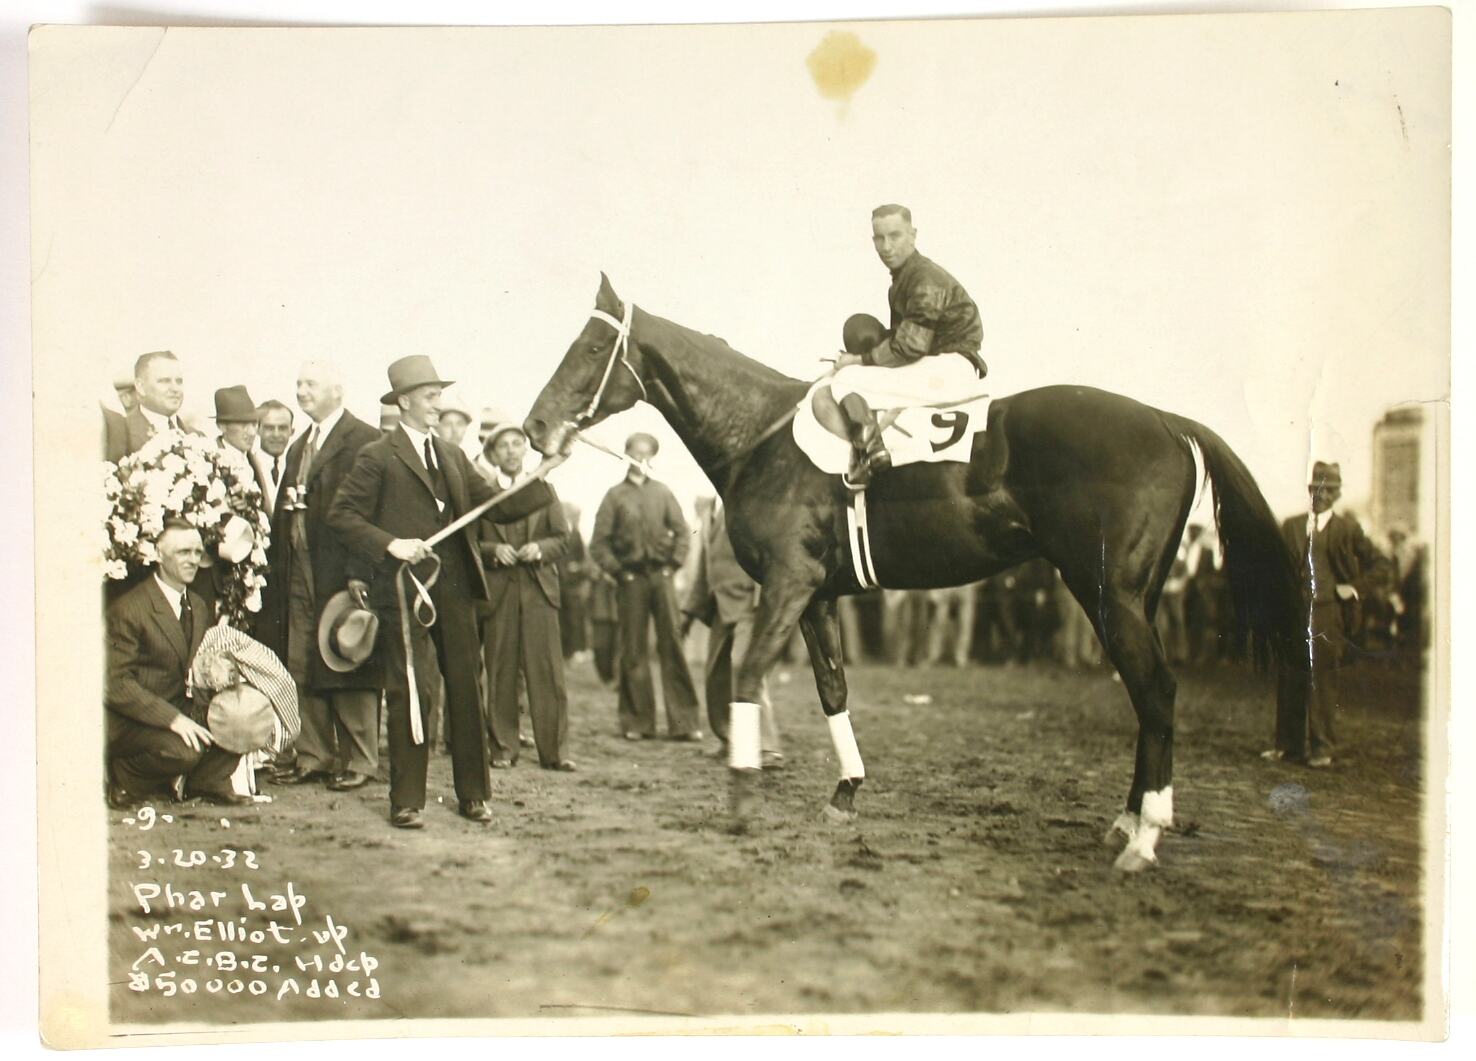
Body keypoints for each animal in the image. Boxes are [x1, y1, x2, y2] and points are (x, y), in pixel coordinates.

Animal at [525, 275, 1298, 873]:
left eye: (590, 348)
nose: (534, 427)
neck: (764, 436)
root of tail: (1167, 421)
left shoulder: (787, 584)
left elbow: (747, 675)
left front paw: (741, 794)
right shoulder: (817, 595)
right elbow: (832, 688)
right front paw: (845, 793)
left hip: (1113, 594)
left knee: (1157, 690)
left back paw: (1145, 838)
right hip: (1128, 593)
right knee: (1147, 695)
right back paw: (1127, 821)